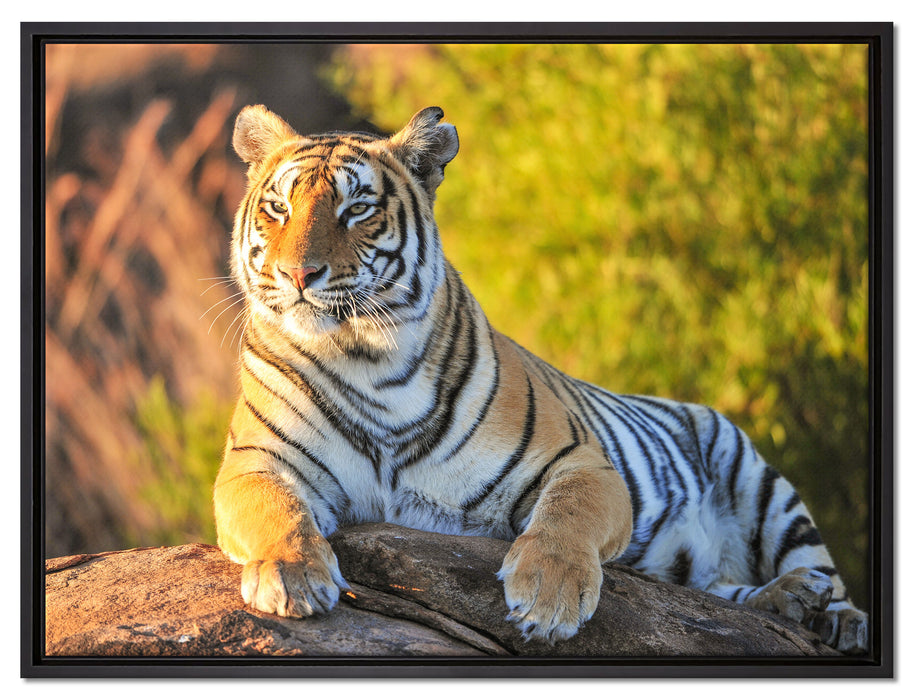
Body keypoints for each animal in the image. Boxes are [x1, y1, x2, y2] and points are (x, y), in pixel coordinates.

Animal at [213, 103, 869, 654]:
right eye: (278, 208)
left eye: (357, 210)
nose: (298, 274)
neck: (366, 361)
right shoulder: (255, 463)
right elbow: (275, 510)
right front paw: (291, 575)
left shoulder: (580, 462)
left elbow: (566, 518)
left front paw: (549, 599)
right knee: (714, 590)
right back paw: (789, 601)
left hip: (761, 483)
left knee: (820, 571)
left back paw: (828, 611)